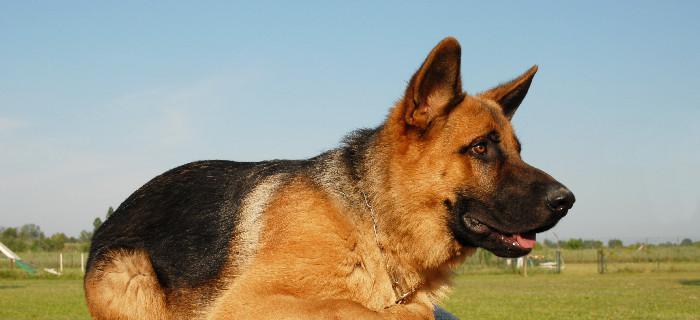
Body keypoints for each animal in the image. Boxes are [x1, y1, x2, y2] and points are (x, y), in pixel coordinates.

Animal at [85, 38, 576, 320]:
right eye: (480, 148)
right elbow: (356, 307)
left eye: (518, 149)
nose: (567, 200)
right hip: (130, 271)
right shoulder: (247, 302)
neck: (372, 224)